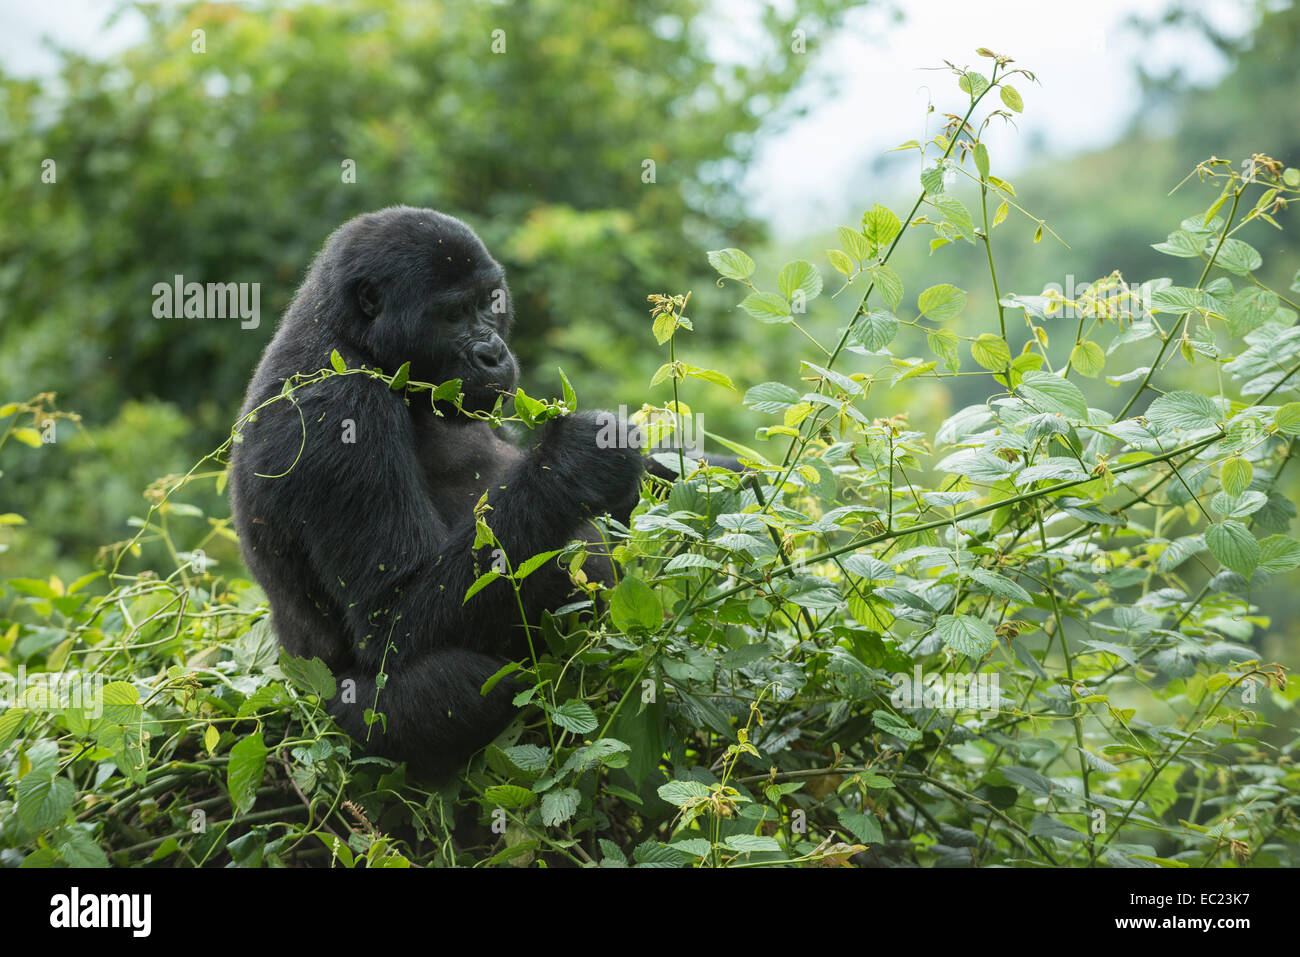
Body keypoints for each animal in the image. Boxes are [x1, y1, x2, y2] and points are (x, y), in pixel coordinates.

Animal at [226, 208, 660, 780]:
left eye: (490, 303)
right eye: (452, 315)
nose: (493, 353)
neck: (352, 337)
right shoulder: (339, 408)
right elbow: (393, 621)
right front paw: (578, 462)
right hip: (325, 720)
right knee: (464, 687)